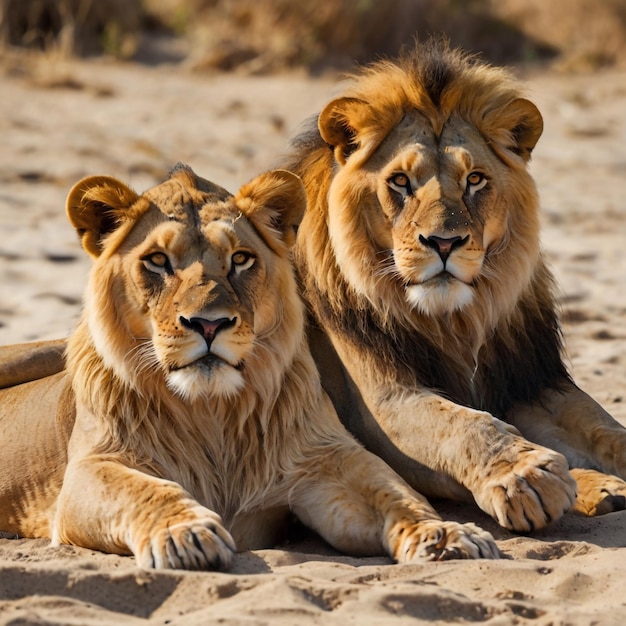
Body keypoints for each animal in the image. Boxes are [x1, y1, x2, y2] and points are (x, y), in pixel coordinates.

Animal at [0, 162, 498, 564]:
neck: (211, 411)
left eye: (240, 259)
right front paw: (186, 533)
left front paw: (445, 534)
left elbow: (396, 493)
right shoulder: (89, 471)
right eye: (157, 261)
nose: (208, 324)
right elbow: (147, 489)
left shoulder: (326, 459)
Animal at [282, 37, 624, 528]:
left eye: (475, 180)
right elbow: (463, 424)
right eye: (400, 181)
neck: (455, 322)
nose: (443, 242)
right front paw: (526, 478)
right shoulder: (381, 401)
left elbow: (604, 426)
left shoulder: (529, 379)